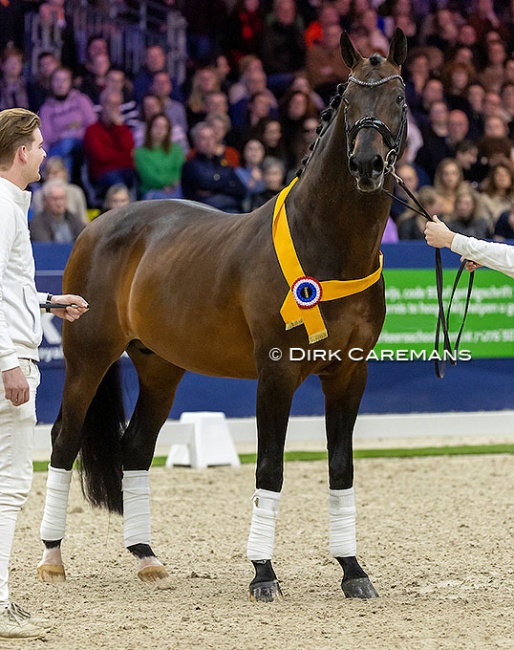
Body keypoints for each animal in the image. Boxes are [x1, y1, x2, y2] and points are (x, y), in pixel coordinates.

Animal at [36, 29, 406, 596]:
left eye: (400, 100)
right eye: (348, 102)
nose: (367, 165)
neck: (326, 246)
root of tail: (98, 226)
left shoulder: (349, 375)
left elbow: (341, 469)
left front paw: (353, 572)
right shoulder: (276, 374)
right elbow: (269, 470)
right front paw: (263, 574)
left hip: (160, 368)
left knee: (135, 449)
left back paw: (145, 557)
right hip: (87, 357)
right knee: (63, 439)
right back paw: (53, 557)